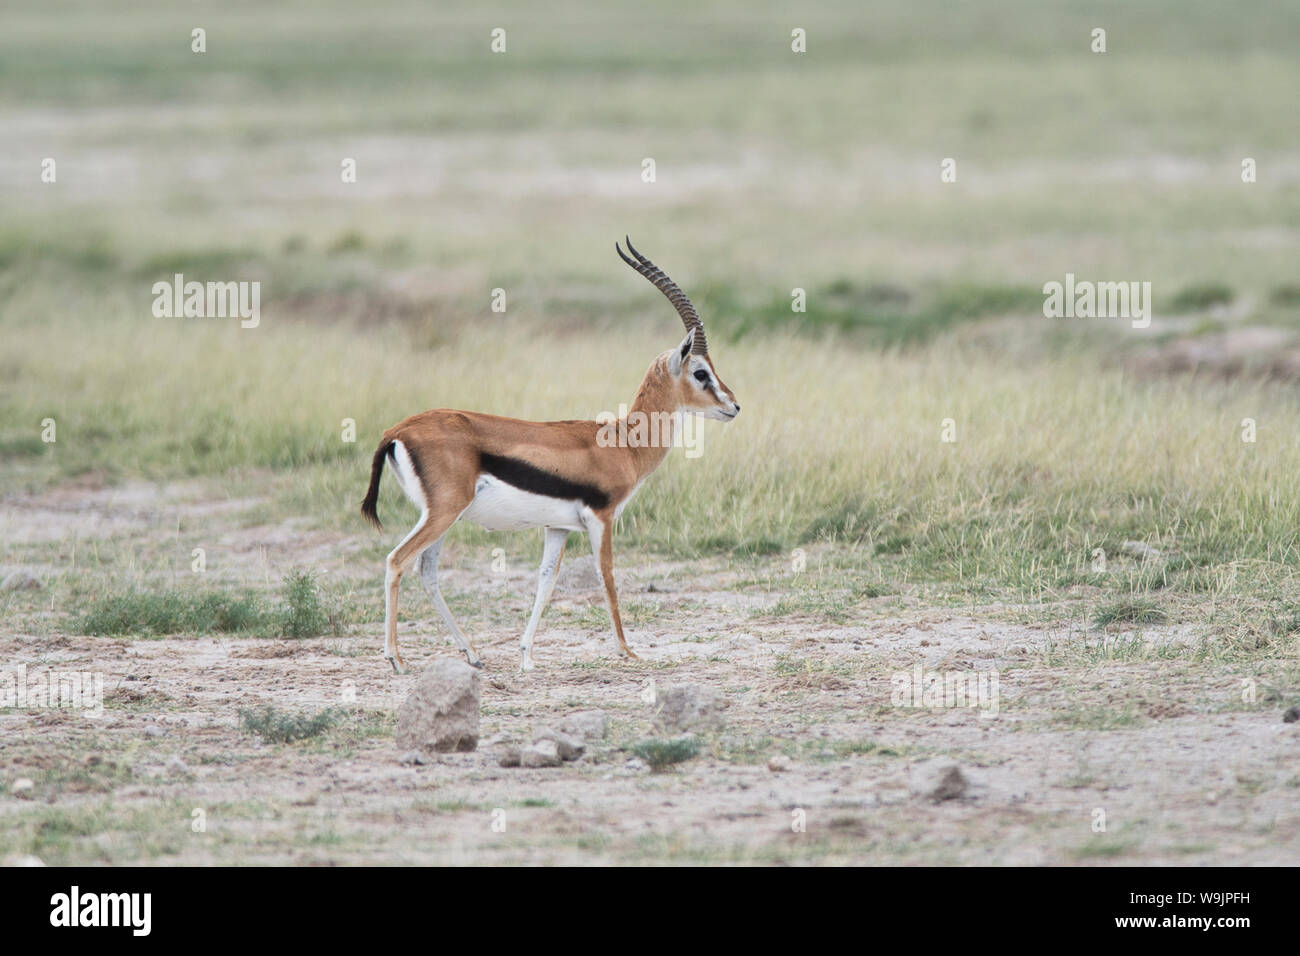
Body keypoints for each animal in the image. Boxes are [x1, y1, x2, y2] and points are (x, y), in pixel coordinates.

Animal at [361, 239, 741, 673]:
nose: (734, 406)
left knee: (427, 572)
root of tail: (397, 431)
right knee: (397, 560)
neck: (623, 442)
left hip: (442, 516)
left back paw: (472, 654)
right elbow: (607, 576)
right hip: (442, 513)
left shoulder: (558, 528)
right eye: (700, 372)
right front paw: (627, 650)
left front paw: (526, 655)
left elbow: (546, 581)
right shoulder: (601, 518)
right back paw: (396, 658)